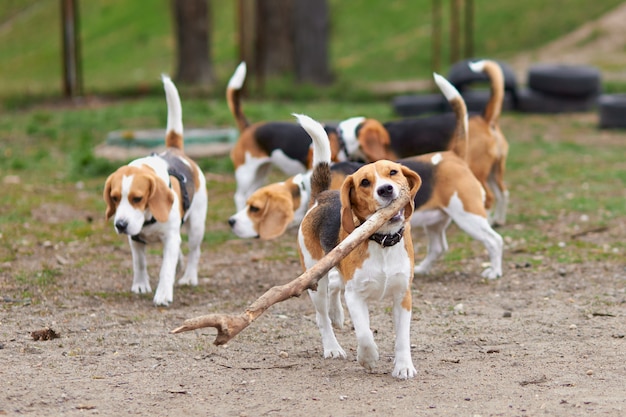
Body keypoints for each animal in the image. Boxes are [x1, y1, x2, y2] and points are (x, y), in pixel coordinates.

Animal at [103, 75, 207, 306]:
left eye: (137, 198)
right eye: (114, 198)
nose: (120, 225)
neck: (148, 217)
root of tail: (175, 150)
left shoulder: (170, 238)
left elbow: (165, 269)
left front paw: (163, 294)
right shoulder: (134, 239)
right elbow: (139, 263)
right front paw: (141, 285)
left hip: (196, 226)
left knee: (194, 251)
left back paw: (189, 276)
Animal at [294, 112, 422, 378]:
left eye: (393, 172)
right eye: (364, 182)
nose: (386, 189)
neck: (383, 241)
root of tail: (321, 197)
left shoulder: (402, 295)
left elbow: (402, 338)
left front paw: (403, 366)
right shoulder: (355, 296)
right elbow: (364, 334)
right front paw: (368, 358)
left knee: (335, 285)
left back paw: (336, 314)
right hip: (315, 280)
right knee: (322, 316)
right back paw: (332, 346)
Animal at [336, 59, 508, 224]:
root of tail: (483, 118)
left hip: (477, 170)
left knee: (489, 198)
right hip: (494, 171)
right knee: (502, 192)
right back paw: (498, 219)